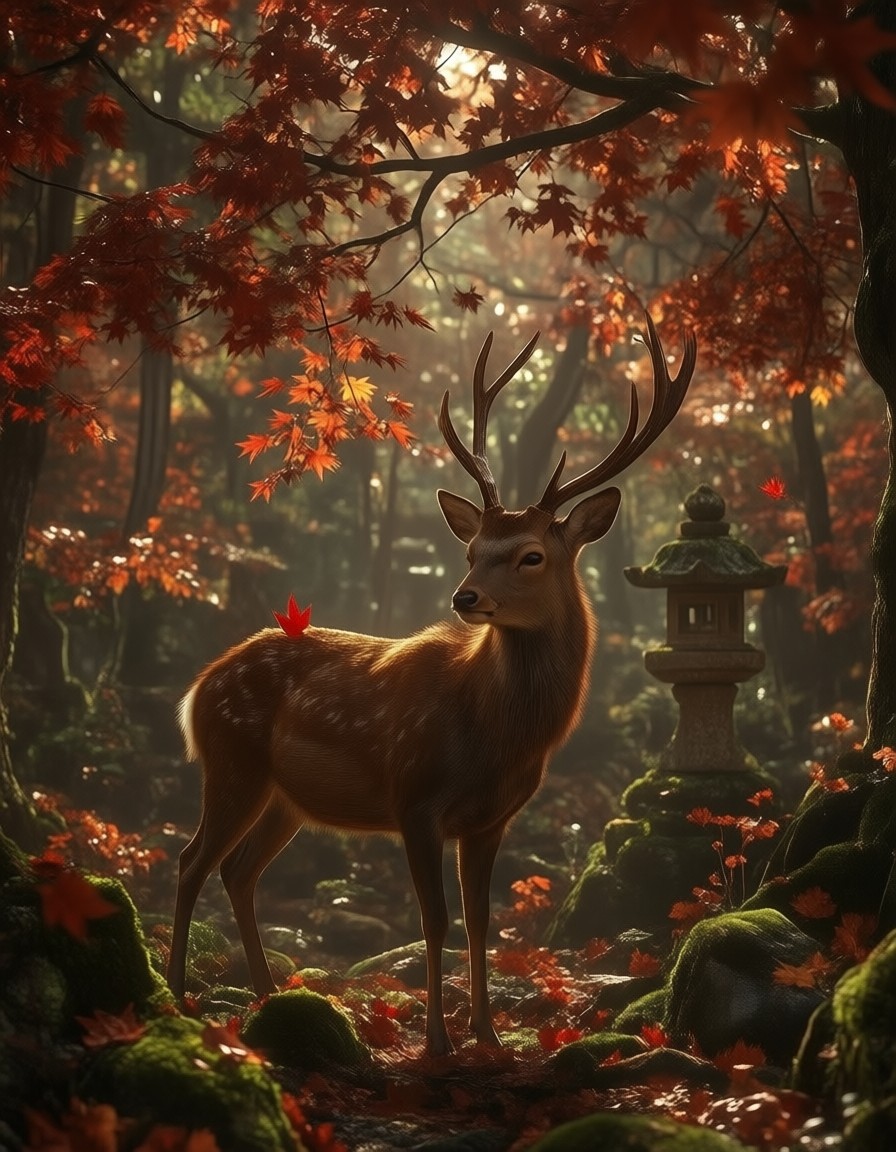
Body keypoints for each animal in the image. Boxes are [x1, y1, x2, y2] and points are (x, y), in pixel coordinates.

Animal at [166, 317, 696, 1055]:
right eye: (472, 550)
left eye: (531, 555)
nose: (464, 597)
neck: (494, 732)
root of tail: (196, 691)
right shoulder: (414, 795)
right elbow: (435, 921)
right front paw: (439, 1043)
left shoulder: (492, 819)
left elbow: (481, 922)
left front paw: (488, 1036)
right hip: (232, 762)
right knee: (191, 861)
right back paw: (177, 992)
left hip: (286, 798)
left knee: (239, 870)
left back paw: (269, 996)